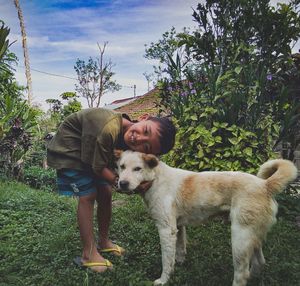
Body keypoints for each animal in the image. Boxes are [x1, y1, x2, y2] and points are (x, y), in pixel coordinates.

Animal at [115, 151, 298, 284]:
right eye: (122, 167)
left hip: (239, 238)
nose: (122, 184)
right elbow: (179, 251)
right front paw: (179, 266)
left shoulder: (166, 230)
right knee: (259, 263)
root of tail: (265, 185)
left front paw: (164, 280)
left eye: (137, 168)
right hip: (252, 237)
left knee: (241, 274)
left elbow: (166, 260)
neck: (156, 179)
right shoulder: (178, 227)